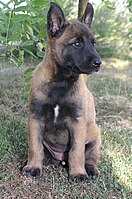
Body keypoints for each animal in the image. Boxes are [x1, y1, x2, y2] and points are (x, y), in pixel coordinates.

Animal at [22, 1, 101, 182]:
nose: (98, 63)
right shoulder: (35, 118)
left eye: (93, 43)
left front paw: (78, 172)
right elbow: (35, 146)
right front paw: (33, 166)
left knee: (90, 157)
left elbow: (77, 151)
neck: (61, 81)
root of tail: (60, 159)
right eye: (77, 44)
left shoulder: (77, 122)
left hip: (95, 133)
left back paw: (90, 169)